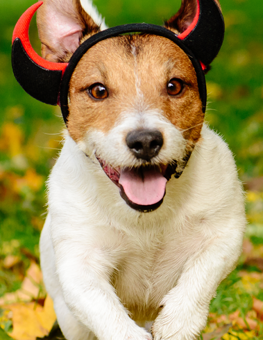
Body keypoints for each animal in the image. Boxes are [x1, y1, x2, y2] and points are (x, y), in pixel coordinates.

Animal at [11, 0, 248, 338]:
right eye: (98, 91)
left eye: (174, 86)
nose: (146, 141)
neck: (145, 219)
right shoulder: (79, 266)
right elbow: (108, 314)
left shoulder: (224, 232)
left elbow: (201, 274)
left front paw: (178, 322)